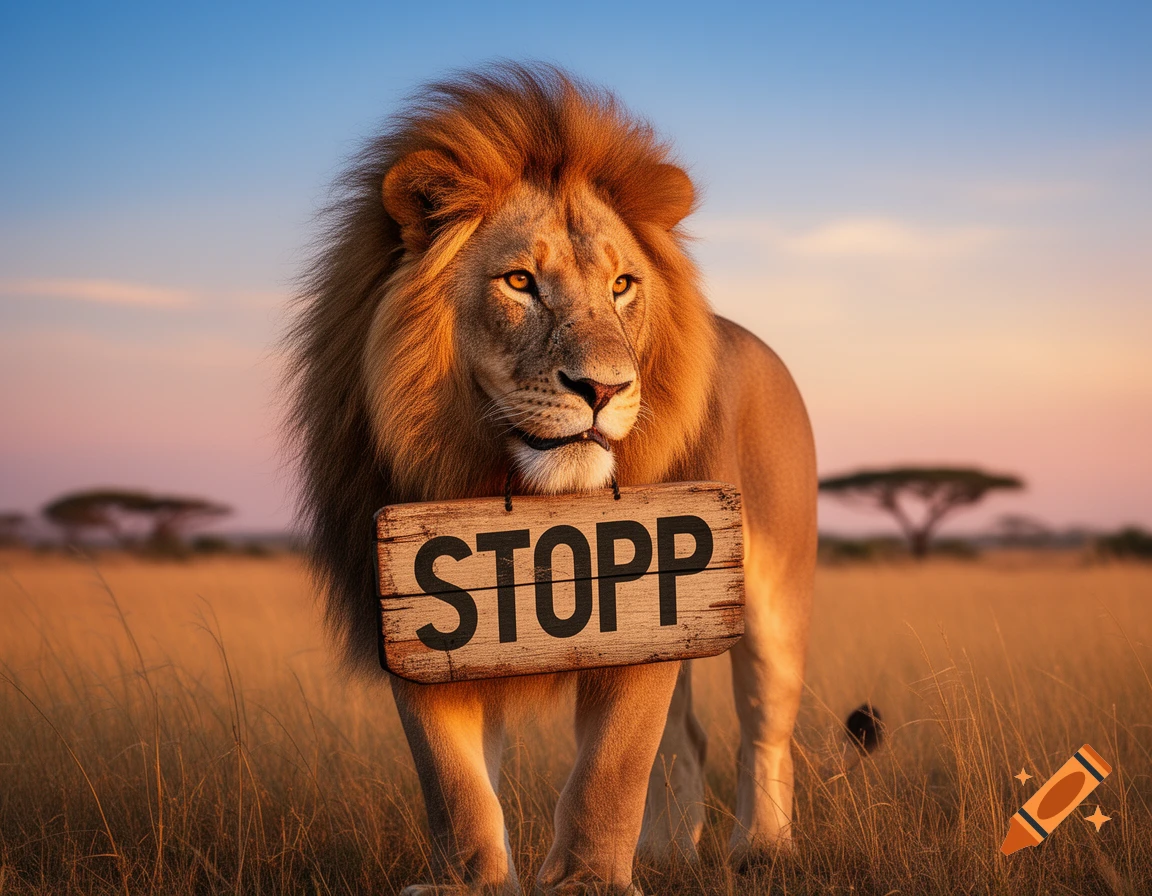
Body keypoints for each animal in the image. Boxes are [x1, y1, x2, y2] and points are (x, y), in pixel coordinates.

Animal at [287, 64, 817, 895]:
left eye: (623, 284)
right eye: (519, 282)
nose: (603, 388)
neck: (513, 486)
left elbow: (611, 769)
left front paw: (591, 880)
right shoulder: (419, 623)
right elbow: (456, 784)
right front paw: (469, 882)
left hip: (771, 596)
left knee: (764, 728)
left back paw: (761, 851)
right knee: (689, 737)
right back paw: (667, 853)